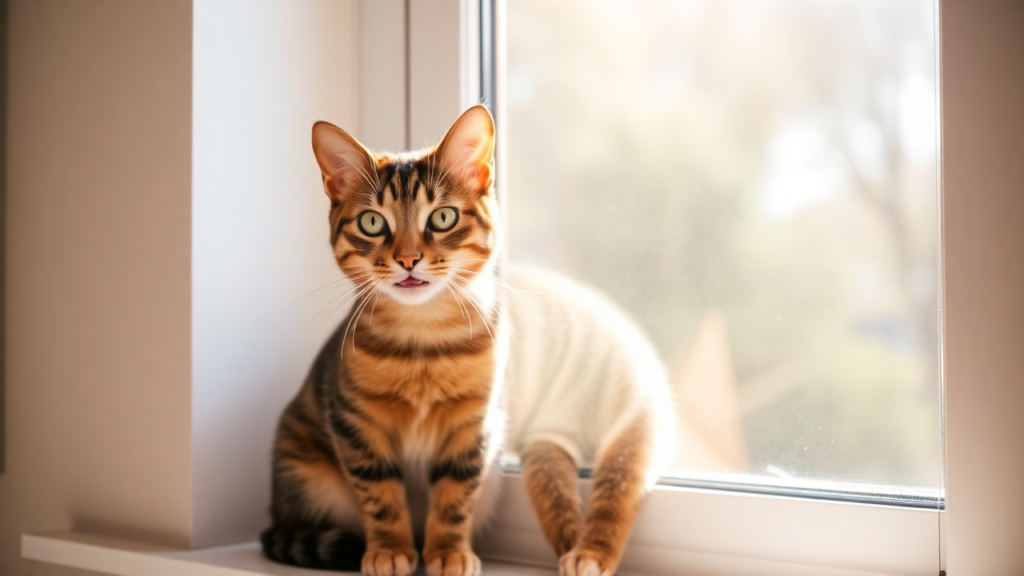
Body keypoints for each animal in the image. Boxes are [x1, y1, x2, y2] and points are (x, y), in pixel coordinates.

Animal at [262, 104, 679, 573]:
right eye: (372, 222)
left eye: (442, 217)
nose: (408, 259)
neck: (424, 342)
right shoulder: (356, 425)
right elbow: (380, 494)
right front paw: (389, 548)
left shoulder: (474, 426)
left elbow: (455, 497)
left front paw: (447, 552)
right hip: (307, 473)